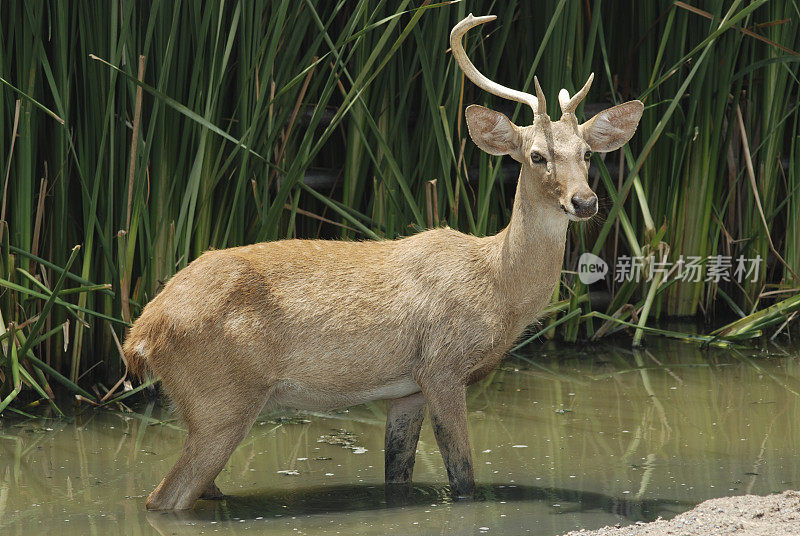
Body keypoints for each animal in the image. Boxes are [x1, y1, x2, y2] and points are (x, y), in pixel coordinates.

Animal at [123, 14, 644, 510]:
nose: (585, 201)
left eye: (588, 153)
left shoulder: (406, 390)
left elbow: (399, 479)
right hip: (221, 397)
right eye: (536, 155)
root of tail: (141, 334)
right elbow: (463, 479)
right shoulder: (442, 366)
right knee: (162, 498)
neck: (497, 287)